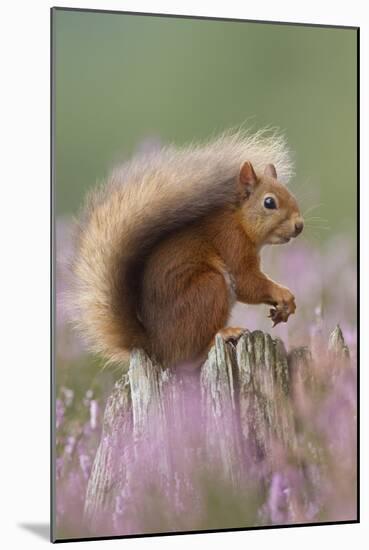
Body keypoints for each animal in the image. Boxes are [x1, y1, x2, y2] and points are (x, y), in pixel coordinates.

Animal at [72, 132, 302, 368]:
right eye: (269, 202)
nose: (299, 225)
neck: (238, 220)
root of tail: (157, 348)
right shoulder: (232, 243)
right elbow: (247, 282)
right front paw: (282, 293)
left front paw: (285, 305)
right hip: (210, 289)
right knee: (192, 353)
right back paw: (224, 334)